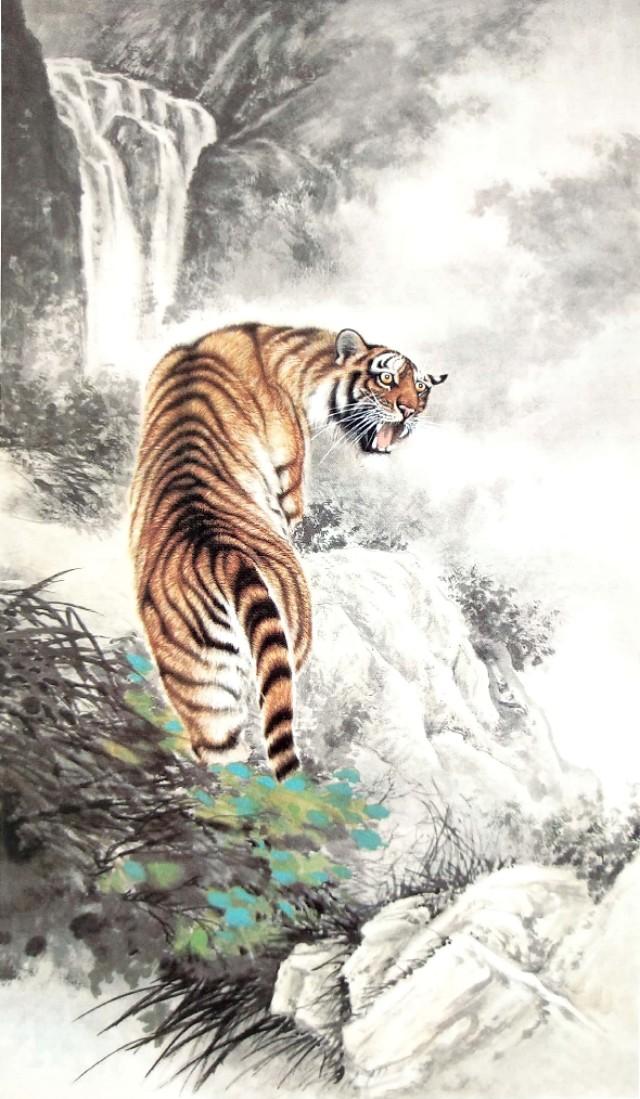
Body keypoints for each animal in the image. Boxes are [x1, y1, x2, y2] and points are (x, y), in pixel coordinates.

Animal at [129, 324, 447, 781]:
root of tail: (220, 552)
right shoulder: (290, 479)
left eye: (420, 389)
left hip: (197, 679)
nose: (409, 412)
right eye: (387, 379)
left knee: (221, 754)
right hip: (289, 638)